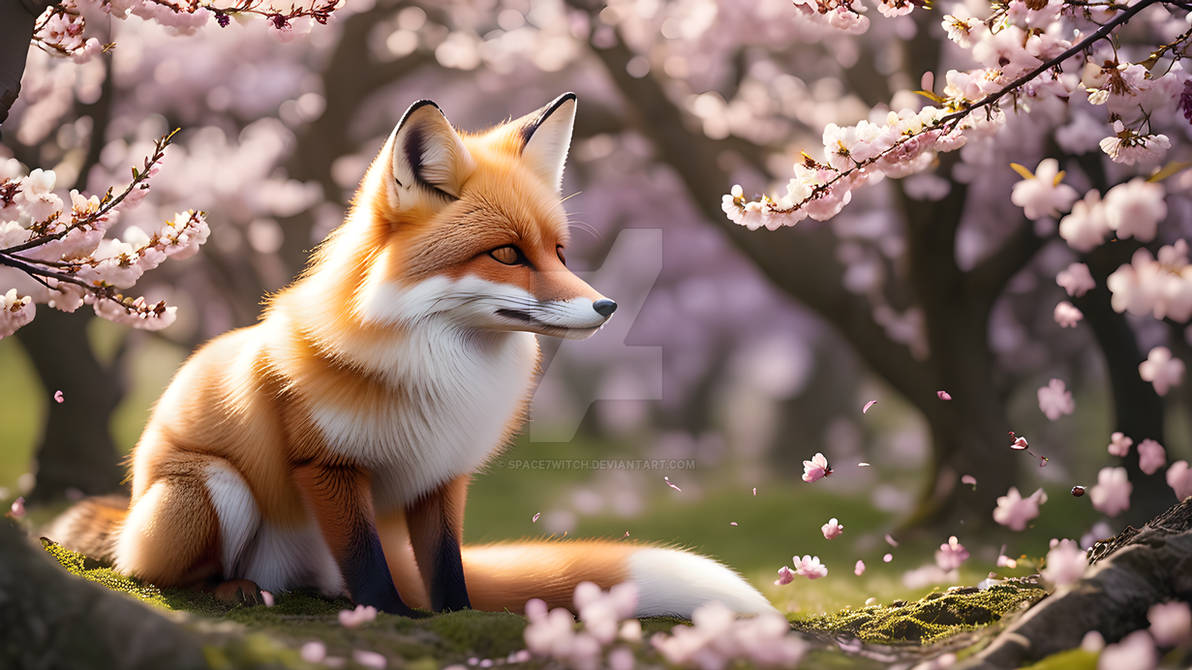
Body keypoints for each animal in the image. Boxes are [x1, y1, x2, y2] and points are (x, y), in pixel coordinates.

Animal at [47, 93, 775, 619]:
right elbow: (369, 562)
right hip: (211, 486)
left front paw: (458, 619)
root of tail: (127, 515)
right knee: (154, 572)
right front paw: (390, 617)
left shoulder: (441, 475)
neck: (441, 372)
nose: (609, 308)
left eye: (558, 253)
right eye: (507, 253)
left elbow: (446, 566)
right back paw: (230, 589)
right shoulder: (328, 468)